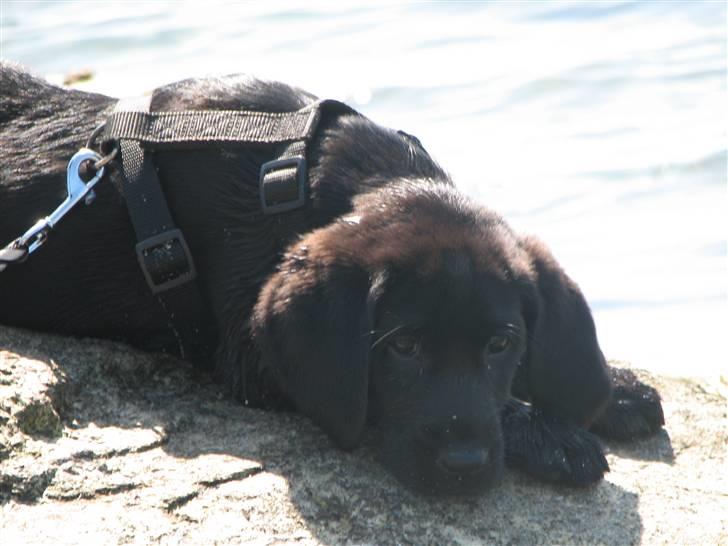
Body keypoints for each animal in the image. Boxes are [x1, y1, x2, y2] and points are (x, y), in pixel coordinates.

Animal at [0, 63, 664, 492]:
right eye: (402, 347)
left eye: (502, 344)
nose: (466, 465)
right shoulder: (252, 359)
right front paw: (550, 434)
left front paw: (614, 387)